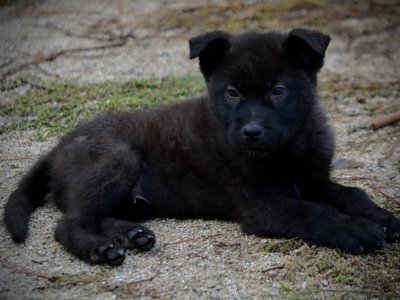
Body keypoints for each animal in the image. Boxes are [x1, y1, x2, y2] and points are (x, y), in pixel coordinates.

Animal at [3, 28, 400, 264]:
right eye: (232, 92)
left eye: (278, 90)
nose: (251, 132)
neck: (289, 146)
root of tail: (58, 147)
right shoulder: (260, 204)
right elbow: (313, 212)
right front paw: (356, 230)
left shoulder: (315, 179)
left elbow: (351, 193)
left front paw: (381, 217)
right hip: (117, 158)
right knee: (68, 223)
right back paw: (99, 248)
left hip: (133, 198)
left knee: (95, 215)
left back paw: (131, 235)